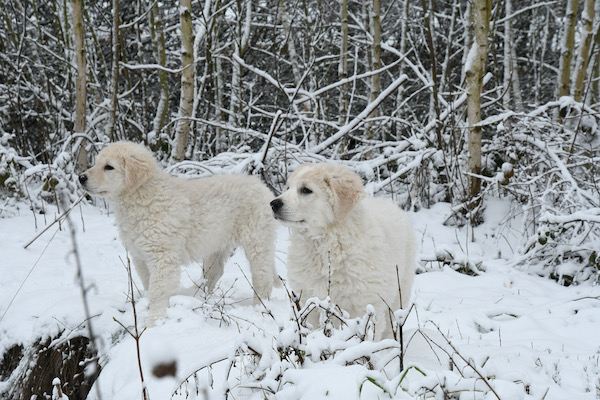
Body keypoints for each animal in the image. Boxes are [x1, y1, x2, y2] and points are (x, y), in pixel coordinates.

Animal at [78, 142, 278, 324]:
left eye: (109, 167)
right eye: (97, 163)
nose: (81, 177)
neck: (140, 199)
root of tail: (262, 187)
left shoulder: (162, 257)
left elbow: (158, 292)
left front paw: (154, 323)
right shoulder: (140, 257)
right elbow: (148, 285)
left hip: (257, 241)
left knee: (263, 277)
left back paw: (260, 308)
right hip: (216, 244)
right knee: (215, 272)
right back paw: (196, 295)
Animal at [270, 163, 414, 340]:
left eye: (306, 190)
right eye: (288, 188)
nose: (273, 204)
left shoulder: (365, 305)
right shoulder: (309, 301)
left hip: (398, 295)